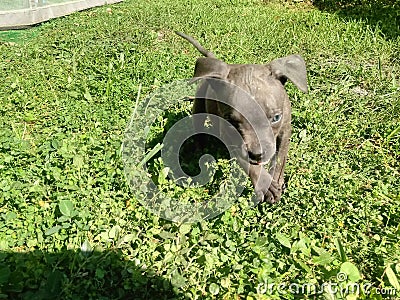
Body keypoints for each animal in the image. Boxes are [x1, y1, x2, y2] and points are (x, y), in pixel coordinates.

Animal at [177, 31, 308, 203]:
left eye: (276, 118)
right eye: (231, 121)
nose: (257, 154)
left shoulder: (285, 131)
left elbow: (280, 158)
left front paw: (275, 180)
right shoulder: (232, 140)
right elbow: (250, 165)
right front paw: (266, 184)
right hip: (199, 105)